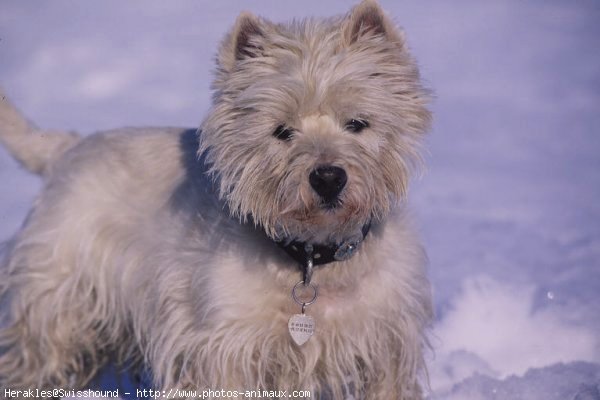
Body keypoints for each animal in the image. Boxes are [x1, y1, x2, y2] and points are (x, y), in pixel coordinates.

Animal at [0, 1, 432, 398]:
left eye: (357, 123)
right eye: (281, 131)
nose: (328, 178)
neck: (313, 259)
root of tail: (66, 149)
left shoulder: (385, 341)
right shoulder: (225, 344)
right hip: (59, 298)